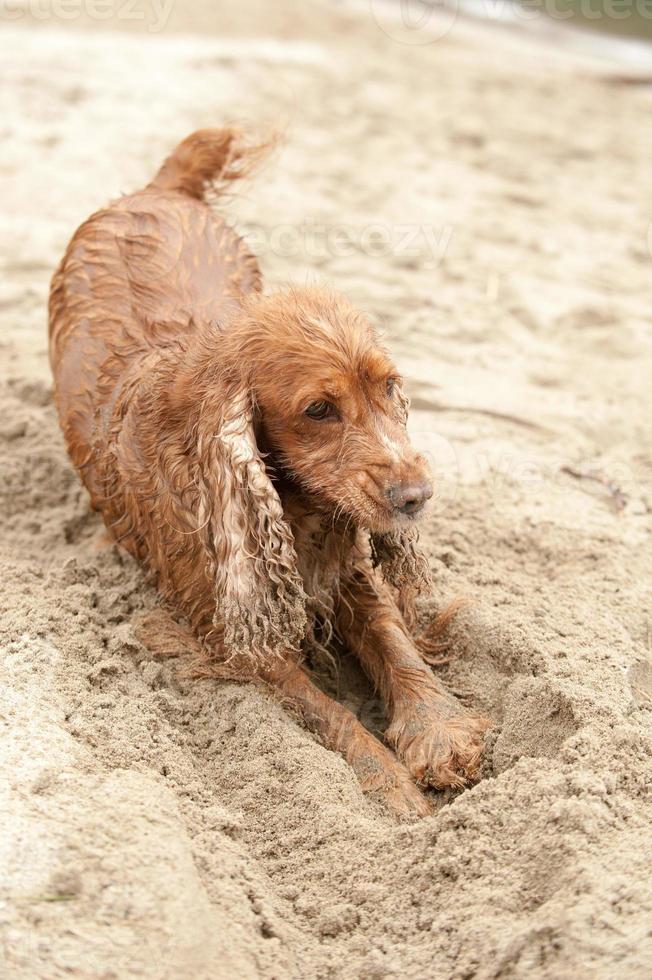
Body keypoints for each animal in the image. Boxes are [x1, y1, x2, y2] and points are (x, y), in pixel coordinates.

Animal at [49, 130, 488, 820]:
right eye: (319, 410)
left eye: (391, 386)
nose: (417, 497)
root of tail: (157, 189)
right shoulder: (233, 629)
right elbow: (331, 713)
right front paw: (392, 786)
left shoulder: (347, 568)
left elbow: (394, 640)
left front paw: (438, 729)